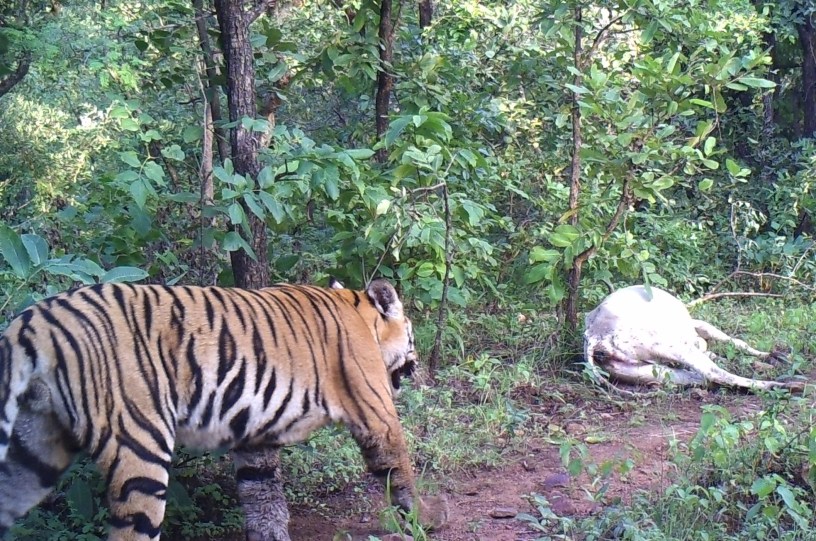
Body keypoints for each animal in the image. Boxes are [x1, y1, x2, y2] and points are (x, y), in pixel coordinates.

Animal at [0, 278, 446, 540]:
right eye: (410, 334)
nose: (418, 363)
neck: (359, 311)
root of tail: (32, 321)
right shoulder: (375, 412)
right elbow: (399, 469)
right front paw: (426, 519)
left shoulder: (256, 436)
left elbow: (262, 496)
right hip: (140, 447)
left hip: (33, 450)